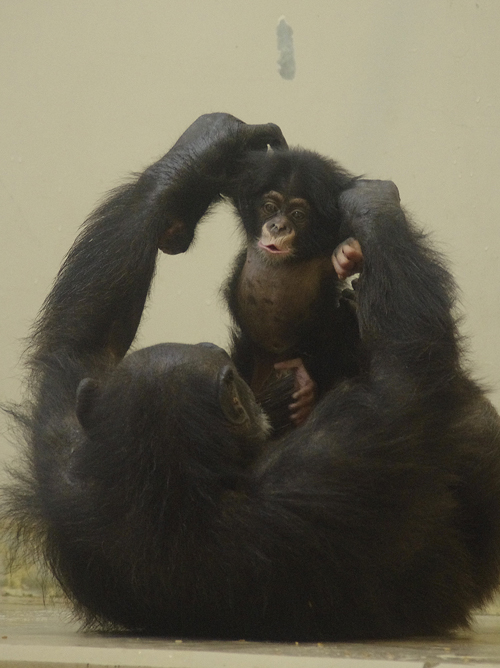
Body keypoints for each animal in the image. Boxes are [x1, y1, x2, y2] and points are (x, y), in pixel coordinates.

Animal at [2, 115, 500, 640]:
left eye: (298, 212)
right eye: (270, 205)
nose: (277, 225)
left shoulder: (67, 457)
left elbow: (80, 347)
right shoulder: (352, 440)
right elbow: (409, 372)